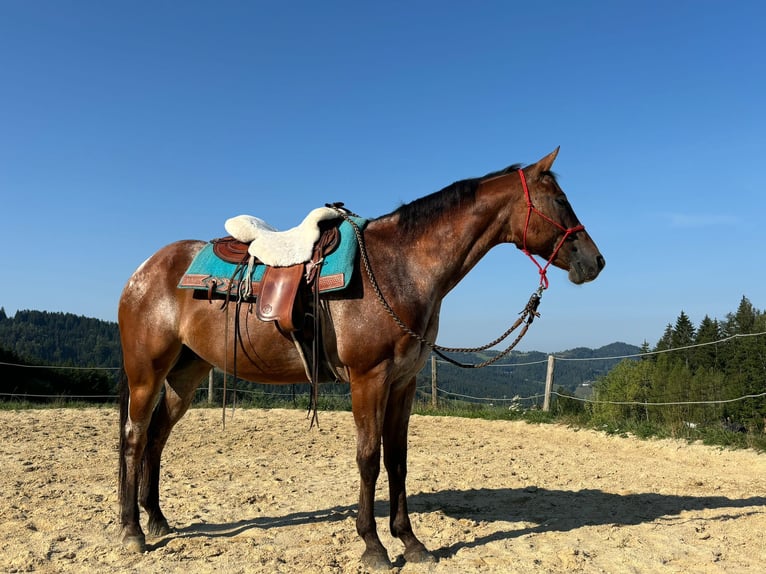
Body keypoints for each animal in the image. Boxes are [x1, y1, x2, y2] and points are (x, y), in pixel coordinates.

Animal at [117, 147, 604, 568]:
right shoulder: (369, 379)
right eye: (560, 200)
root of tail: (142, 272)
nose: (595, 262)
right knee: (134, 438)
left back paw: (156, 520)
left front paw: (411, 541)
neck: (400, 269)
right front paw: (373, 545)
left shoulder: (404, 382)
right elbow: (369, 458)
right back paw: (132, 531)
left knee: (157, 436)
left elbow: (398, 460)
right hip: (146, 373)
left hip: (186, 374)